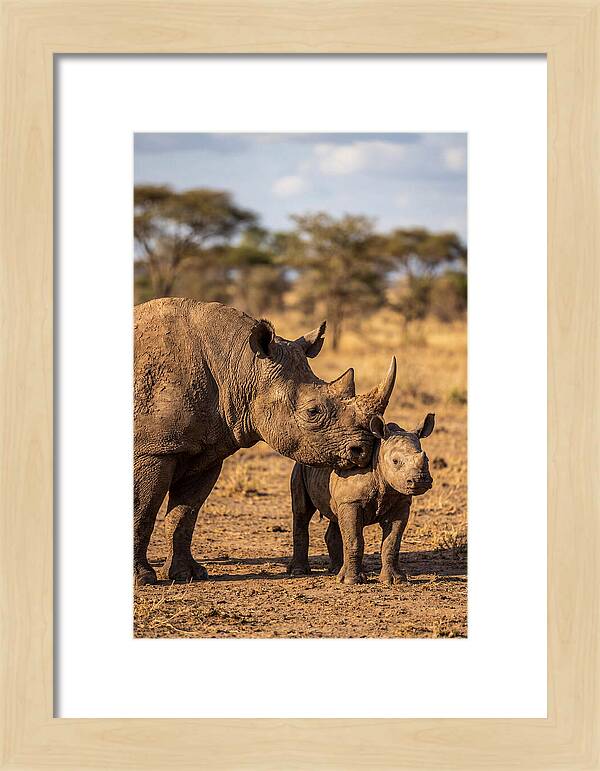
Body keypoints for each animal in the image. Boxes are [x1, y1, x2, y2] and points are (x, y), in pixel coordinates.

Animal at [134, 298, 396, 585]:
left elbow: (184, 514)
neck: (240, 366)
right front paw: (143, 579)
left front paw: (187, 575)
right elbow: (142, 509)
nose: (364, 450)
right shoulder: (153, 450)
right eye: (312, 412)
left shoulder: (206, 451)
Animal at [288, 412, 435, 585]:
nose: (420, 480)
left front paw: (395, 580)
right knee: (302, 512)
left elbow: (392, 542)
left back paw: (336, 570)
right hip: (300, 466)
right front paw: (351, 581)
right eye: (395, 461)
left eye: (427, 459)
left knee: (335, 517)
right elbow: (354, 540)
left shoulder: (400, 503)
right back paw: (299, 571)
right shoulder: (352, 502)